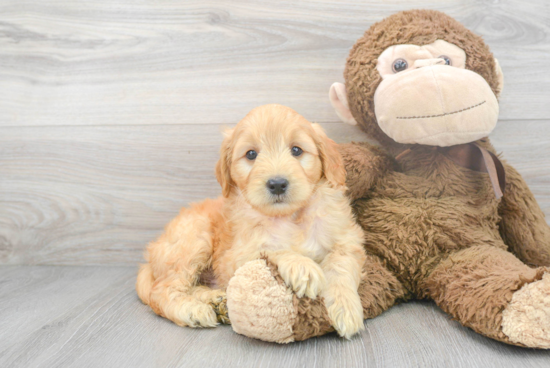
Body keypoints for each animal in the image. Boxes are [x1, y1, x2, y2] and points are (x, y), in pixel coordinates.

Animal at [135, 103, 366, 340]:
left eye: (296, 150)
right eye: (251, 154)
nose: (277, 184)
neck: (290, 217)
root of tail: (149, 260)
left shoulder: (347, 239)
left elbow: (341, 268)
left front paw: (346, 308)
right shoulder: (233, 257)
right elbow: (271, 248)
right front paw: (302, 266)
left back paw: (216, 300)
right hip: (193, 240)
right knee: (162, 290)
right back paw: (192, 310)